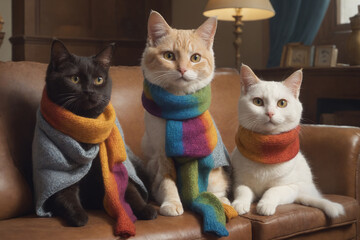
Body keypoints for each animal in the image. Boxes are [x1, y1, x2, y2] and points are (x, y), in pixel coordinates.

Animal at [43, 39, 156, 227]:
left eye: (98, 80)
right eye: (74, 79)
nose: (90, 91)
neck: (86, 123)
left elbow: (129, 187)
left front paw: (144, 209)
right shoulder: (60, 172)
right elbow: (64, 192)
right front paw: (78, 216)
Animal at [232, 64, 344, 218]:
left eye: (282, 103)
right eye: (258, 101)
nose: (270, 113)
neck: (266, 153)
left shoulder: (291, 187)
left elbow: (273, 190)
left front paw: (265, 204)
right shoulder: (239, 181)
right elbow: (243, 190)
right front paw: (239, 204)